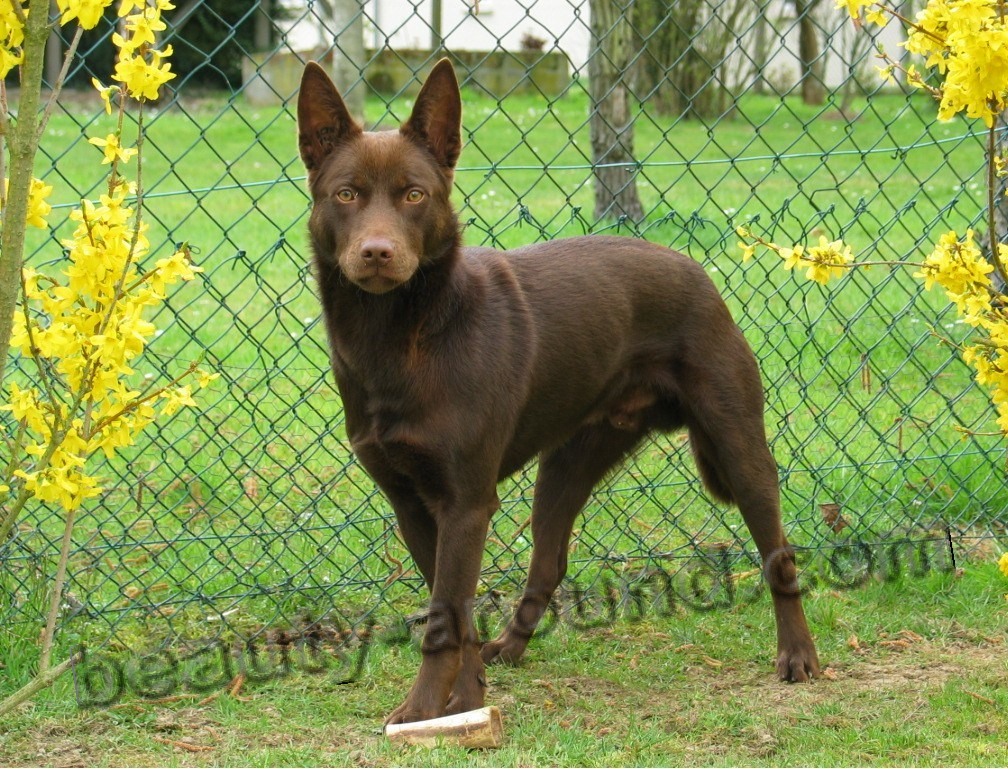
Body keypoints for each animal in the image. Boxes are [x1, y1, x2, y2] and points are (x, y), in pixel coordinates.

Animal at [296, 58, 818, 721]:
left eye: (415, 195)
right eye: (346, 194)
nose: (377, 253)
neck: (401, 335)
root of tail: (695, 269)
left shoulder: (465, 502)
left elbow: (444, 613)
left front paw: (425, 711)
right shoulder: (413, 504)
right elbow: (455, 609)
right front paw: (468, 697)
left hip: (738, 444)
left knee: (778, 551)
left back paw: (798, 655)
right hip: (568, 462)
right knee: (548, 565)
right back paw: (510, 649)